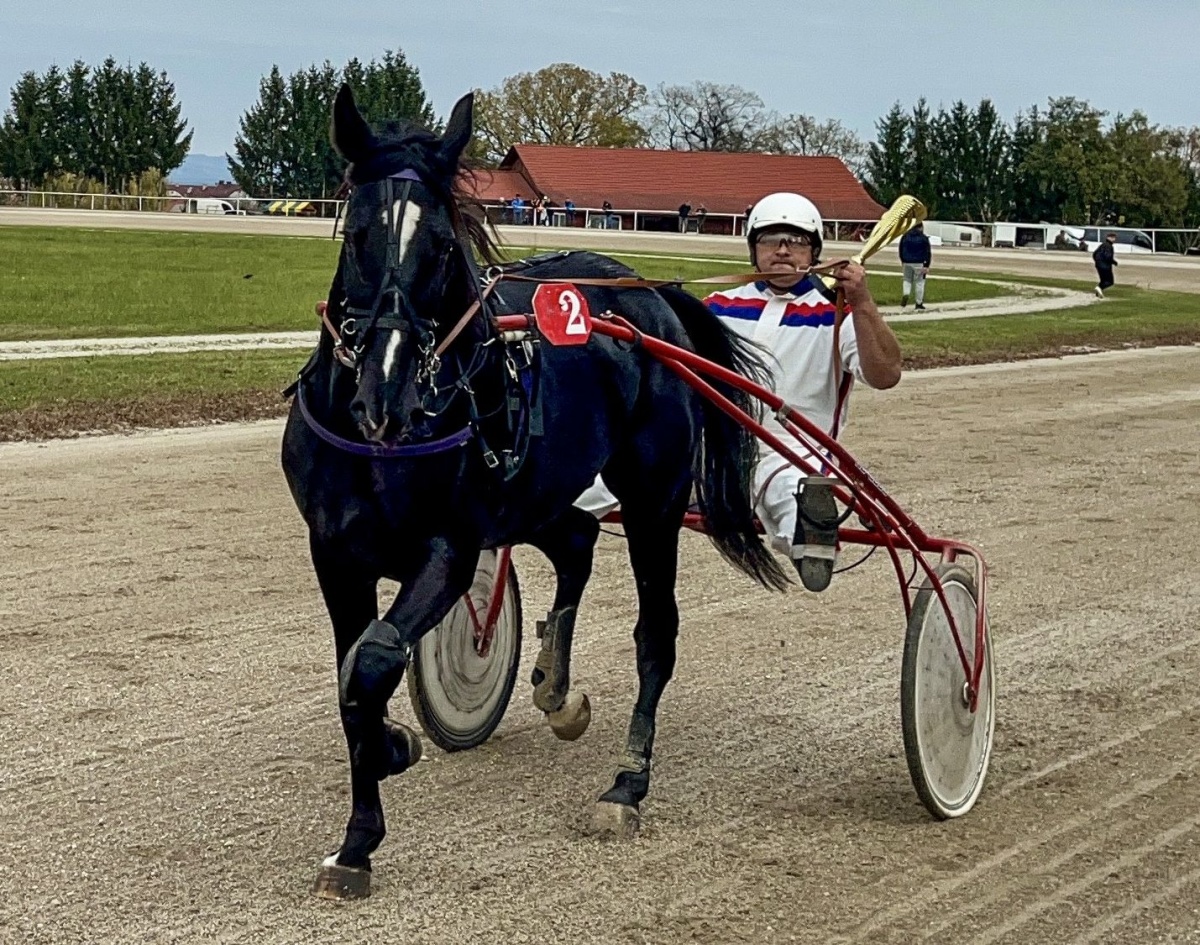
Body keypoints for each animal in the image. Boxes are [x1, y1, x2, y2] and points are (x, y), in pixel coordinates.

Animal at [280, 85, 787, 897]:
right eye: (356, 235)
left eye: (441, 246)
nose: (386, 393)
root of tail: (645, 293)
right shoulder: (334, 551)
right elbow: (352, 677)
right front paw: (358, 837)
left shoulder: (451, 546)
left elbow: (376, 660)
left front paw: (393, 749)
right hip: (538, 494)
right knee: (576, 543)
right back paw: (553, 684)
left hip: (652, 501)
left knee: (656, 632)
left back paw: (626, 785)